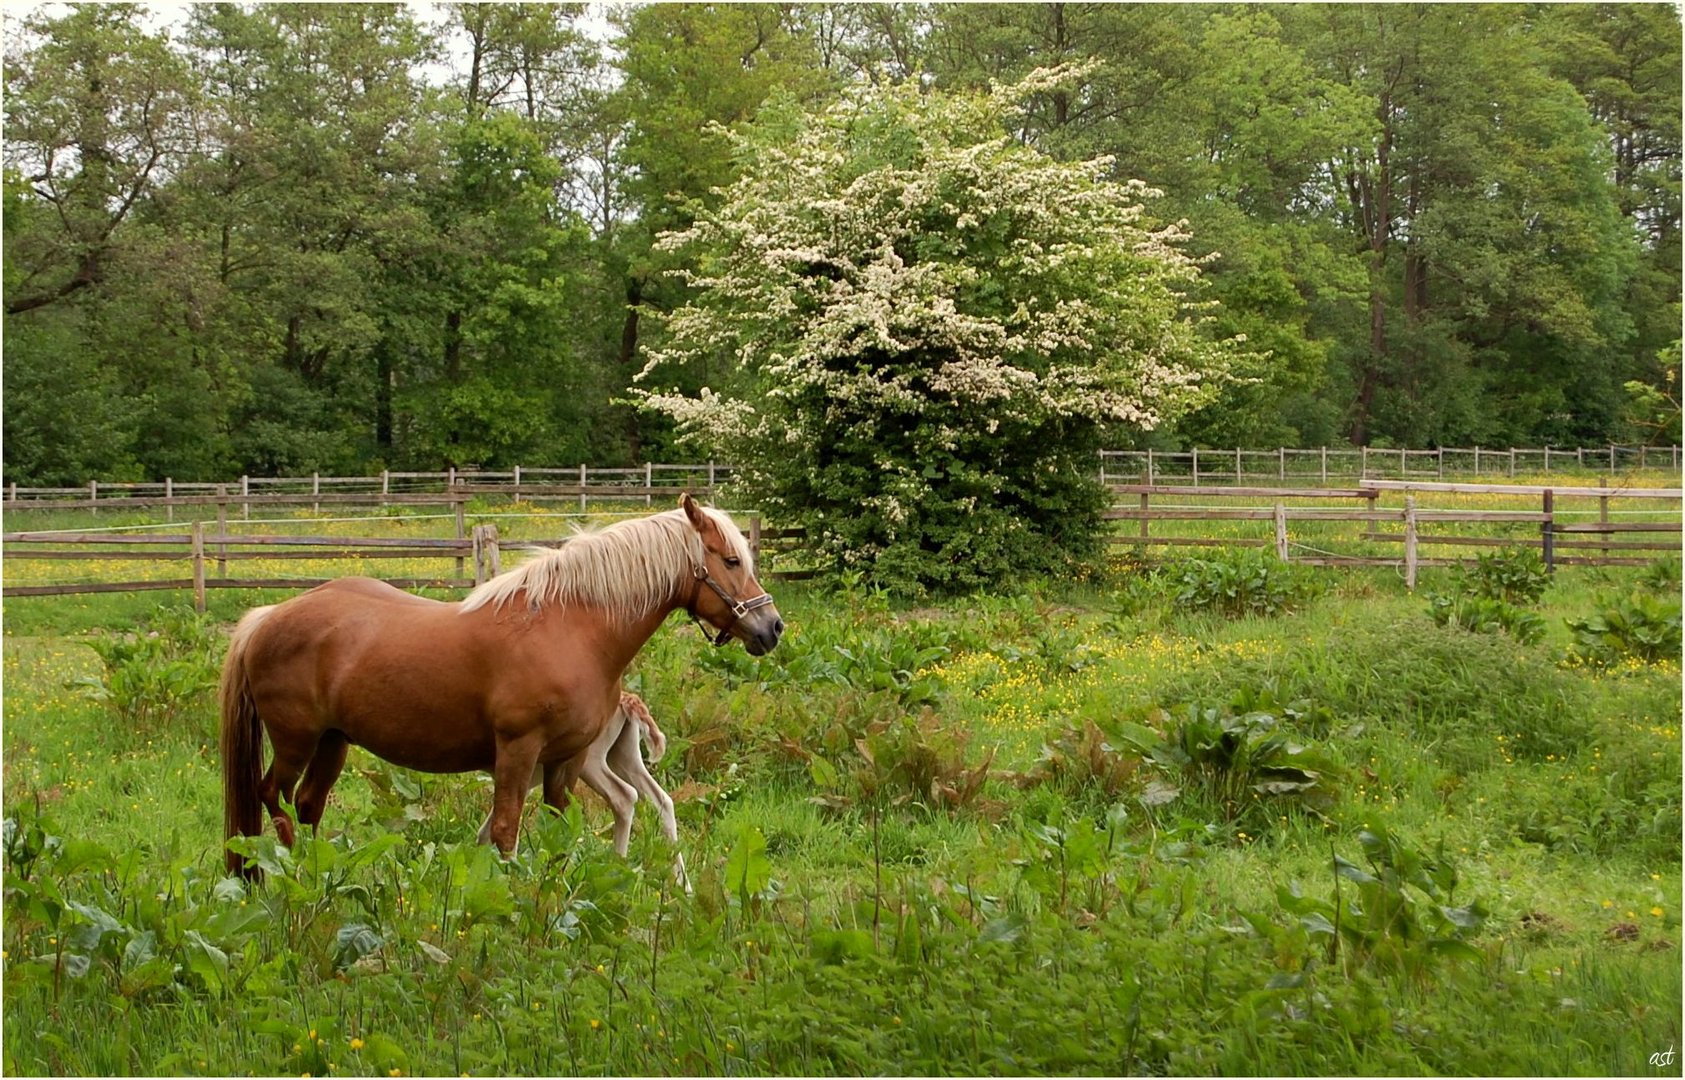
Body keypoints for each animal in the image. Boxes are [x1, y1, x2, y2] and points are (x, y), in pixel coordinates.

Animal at [215, 498, 781, 876]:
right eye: (731, 561)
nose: (771, 627)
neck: (570, 628)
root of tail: (267, 617)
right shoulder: (517, 751)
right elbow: (507, 832)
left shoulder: (566, 759)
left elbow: (557, 826)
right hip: (296, 741)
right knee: (274, 798)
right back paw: (282, 871)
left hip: (334, 743)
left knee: (308, 805)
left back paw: (316, 873)